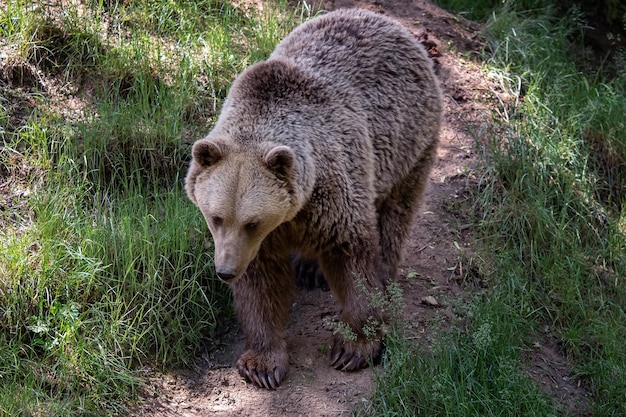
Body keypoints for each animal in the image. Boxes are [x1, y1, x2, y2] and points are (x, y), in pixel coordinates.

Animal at [183, 8, 442, 388]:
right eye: (216, 217)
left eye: (252, 221)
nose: (225, 271)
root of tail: (390, 22)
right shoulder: (263, 239)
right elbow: (261, 285)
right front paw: (262, 363)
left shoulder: (333, 189)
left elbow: (353, 259)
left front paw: (354, 346)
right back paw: (309, 268)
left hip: (410, 143)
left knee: (395, 216)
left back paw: (383, 270)